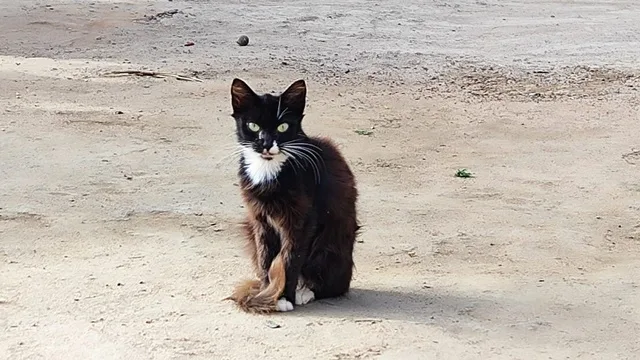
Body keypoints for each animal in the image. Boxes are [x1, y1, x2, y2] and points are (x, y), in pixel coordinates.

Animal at [224, 78, 360, 312]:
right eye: (253, 126)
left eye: (283, 126)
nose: (266, 144)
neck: (268, 169)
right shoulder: (259, 218)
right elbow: (265, 257)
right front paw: (267, 293)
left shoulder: (302, 220)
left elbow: (291, 259)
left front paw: (284, 298)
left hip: (331, 245)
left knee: (333, 286)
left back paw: (305, 292)